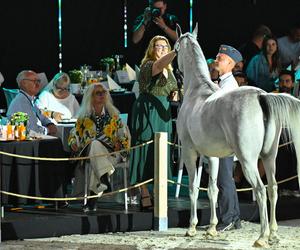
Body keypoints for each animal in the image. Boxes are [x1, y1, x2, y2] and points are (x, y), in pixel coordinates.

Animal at [175, 24, 300, 247]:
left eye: (175, 48)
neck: (197, 92)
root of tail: (261, 96)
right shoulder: (212, 156)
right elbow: (213, 189)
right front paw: (212, 229)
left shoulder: (190, 153)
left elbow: (193, 188)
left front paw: (191, 228)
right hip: (269, 157)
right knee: (273, 188)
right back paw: (274, 234)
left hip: (248, 161)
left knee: (260, 190)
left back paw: (262, 237)